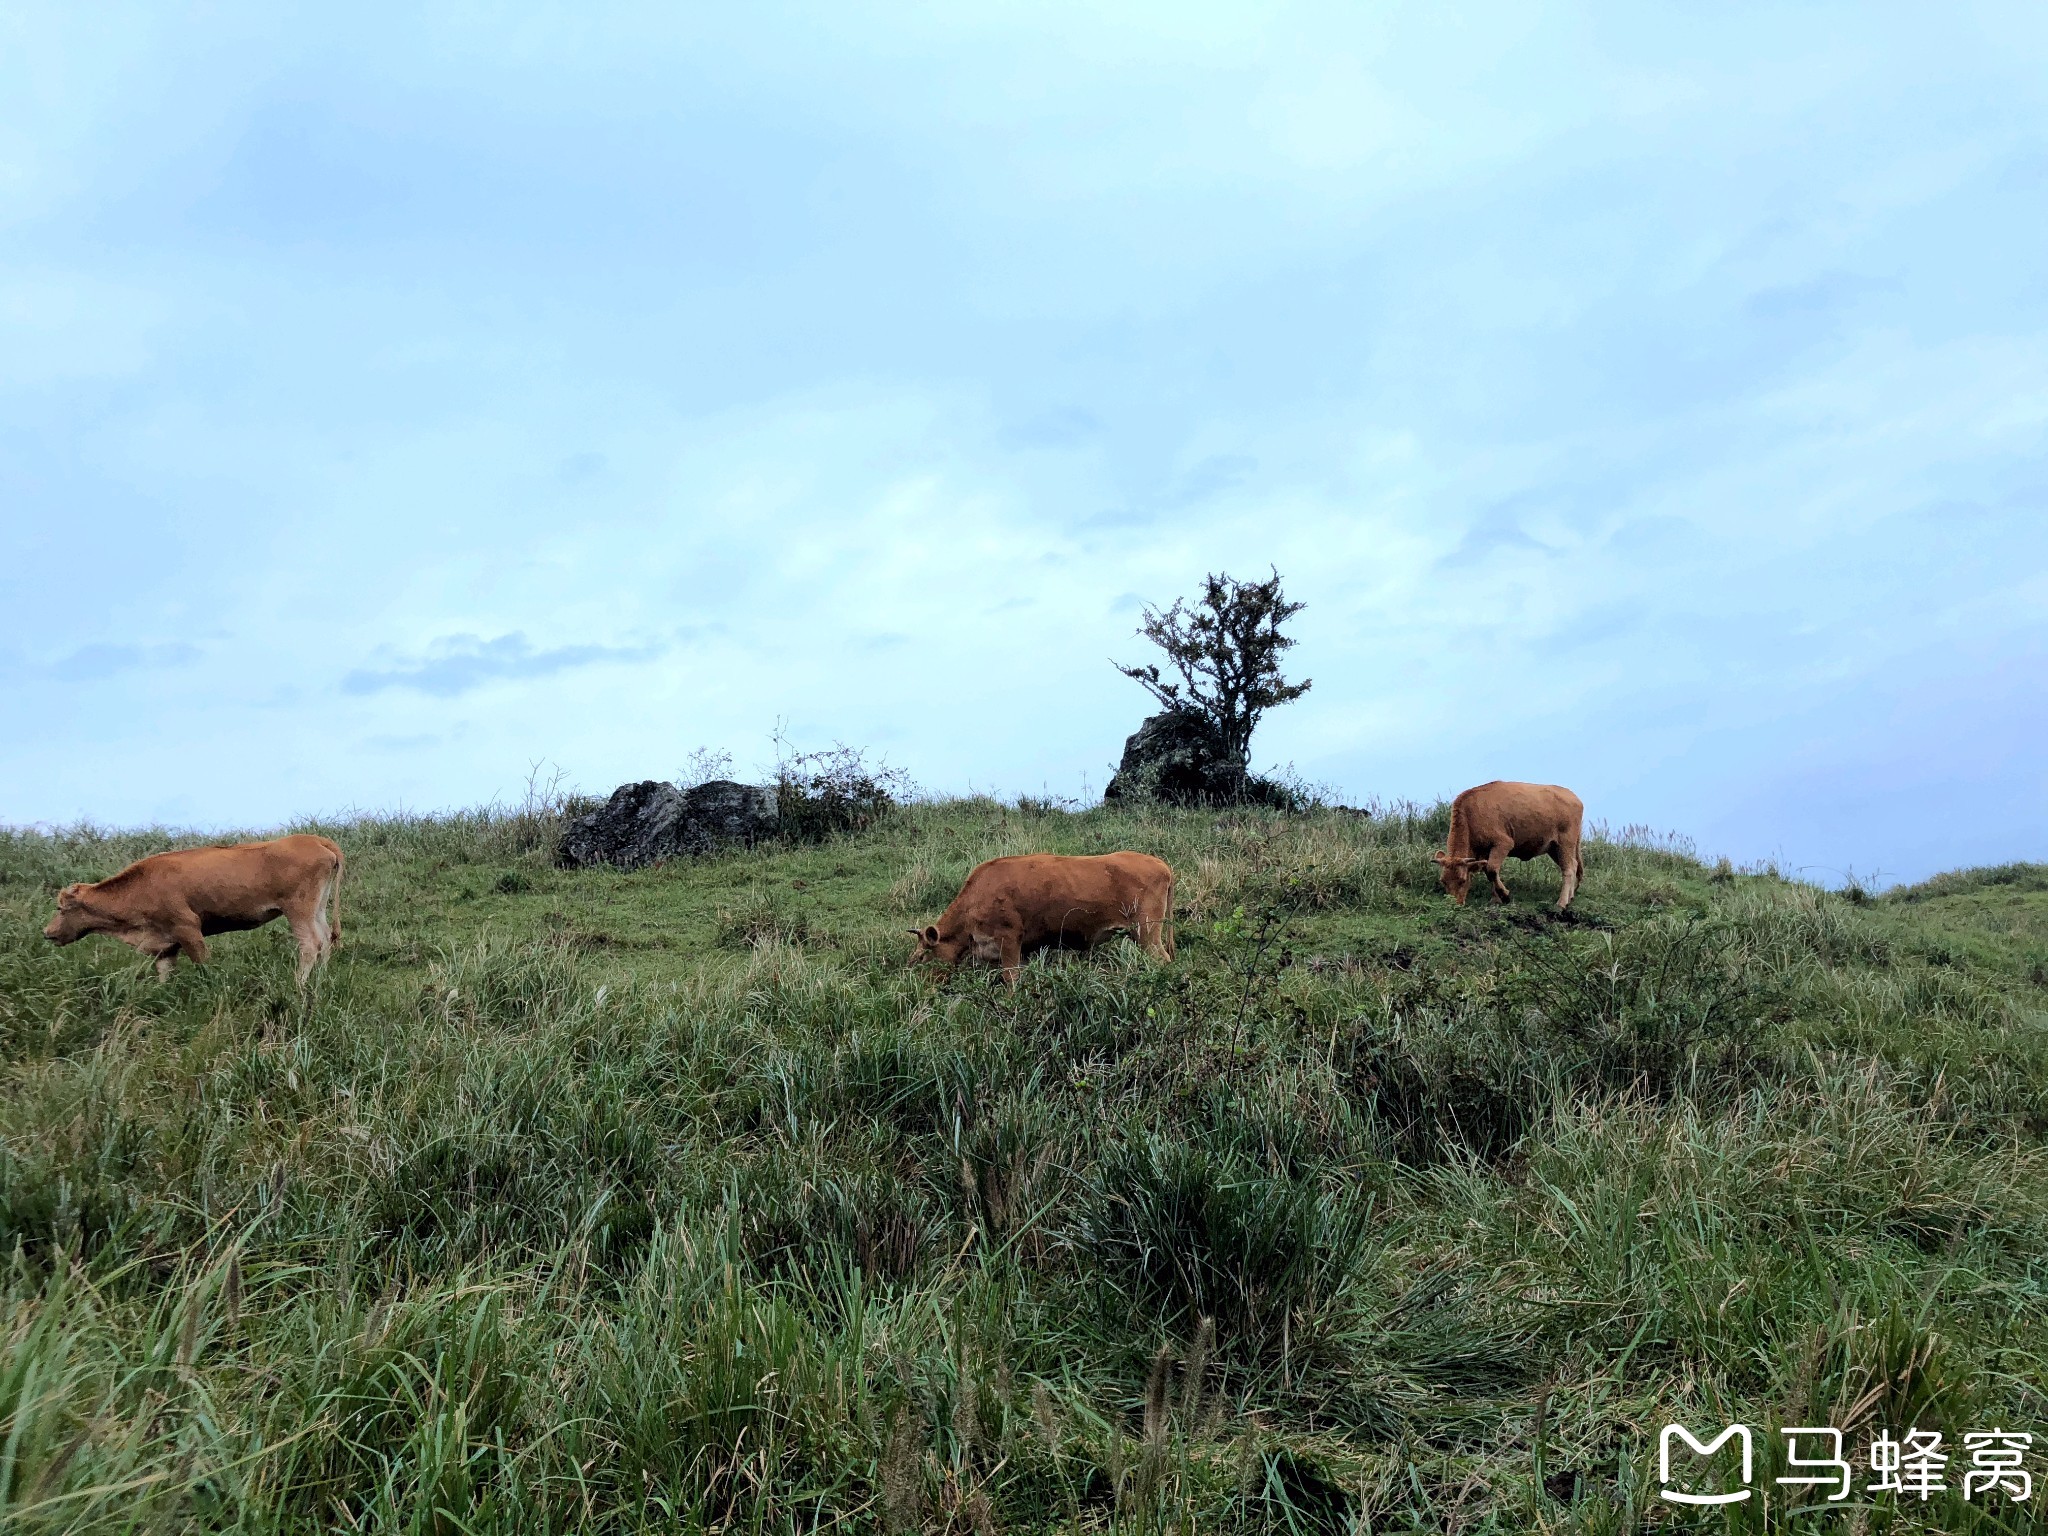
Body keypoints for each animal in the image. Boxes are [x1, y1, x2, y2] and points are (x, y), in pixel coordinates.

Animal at [44, 835, 346, 978]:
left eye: (61, 909)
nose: (47, 933)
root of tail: (315, 839)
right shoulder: (165, 946)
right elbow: (165, 974)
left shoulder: (188, 929)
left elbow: (203, 965)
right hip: (317, 908)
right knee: (325, 939)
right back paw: (321, 978)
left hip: (298, 911)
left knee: (311, 944)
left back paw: (300, 983)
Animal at [909, 856, 1179, 987]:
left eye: (922, 957)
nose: (922, 988)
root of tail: (1161, 864)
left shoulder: (1009, 940)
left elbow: (1011, 979)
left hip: (1147, 932)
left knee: (1162, 960)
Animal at [1433, 786, 1589, 909]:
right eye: (1443, 881)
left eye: (1462, 880)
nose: (1454, 904)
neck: (1471, 814)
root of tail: (1573, 797)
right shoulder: (1485, 852)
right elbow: (1489, 870)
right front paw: (1495, 900)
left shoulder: (1503, 843)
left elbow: (1492, 869)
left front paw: (1504, 895)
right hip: (1554, 848)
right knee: (1574, 865)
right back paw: (1570, 898)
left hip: (1565, 843)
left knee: (1569, 869)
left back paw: (1561, 903)